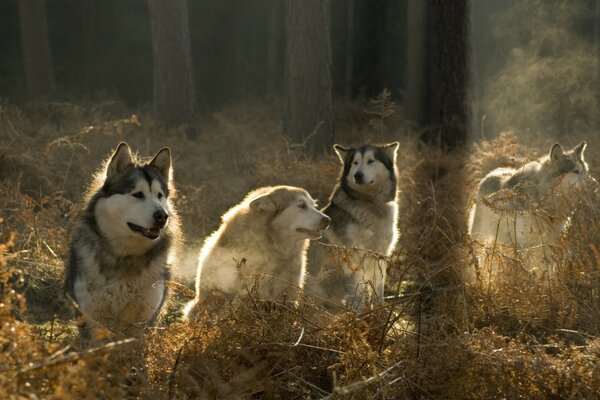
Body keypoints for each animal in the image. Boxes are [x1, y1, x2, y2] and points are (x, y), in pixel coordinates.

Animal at [64, 142, 180, 340]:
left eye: (160, 195)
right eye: (138, 194)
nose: (162, 216)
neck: (125, 257)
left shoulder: (143, 321)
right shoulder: (93, 320)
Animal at [308, 143, 400, 312]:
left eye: (371, 161)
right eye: (355, 163)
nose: (358, 175)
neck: (368, 203)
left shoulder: (379, 255)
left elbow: (378, 289)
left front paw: (379, 312)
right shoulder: (353, 257)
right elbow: (357, 293)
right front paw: (359, 314)